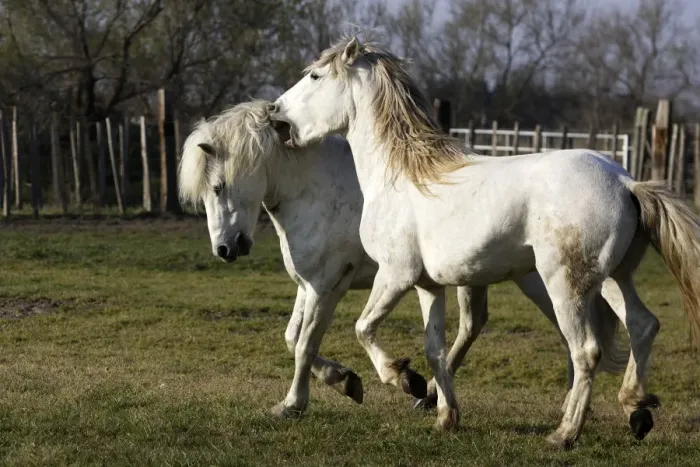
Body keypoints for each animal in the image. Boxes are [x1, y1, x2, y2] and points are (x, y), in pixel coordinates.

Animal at [177, 100, 626, 421]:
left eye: (218, 187)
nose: (225, 249)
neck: (316, 189)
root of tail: (621, 183)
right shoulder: (309, 286)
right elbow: (292, 339)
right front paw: (347, 381)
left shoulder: (327, 287)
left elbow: (305, 344)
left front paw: (295, 404)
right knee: (477, 326)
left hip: (550, 281)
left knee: (587, 334)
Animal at [268, 35, 700, 448]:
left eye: (315, 77)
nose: (275, 112)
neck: (399, 176)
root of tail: (627, 182)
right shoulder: (427, 285)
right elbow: (435, 349)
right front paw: (444, 416)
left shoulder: (394, 275)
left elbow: (362, 328)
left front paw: (402, 379)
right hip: (614, 277)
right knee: (642, 325)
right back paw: (637, 409)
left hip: (565, 284)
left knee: (586, 350)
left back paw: (565, 434)